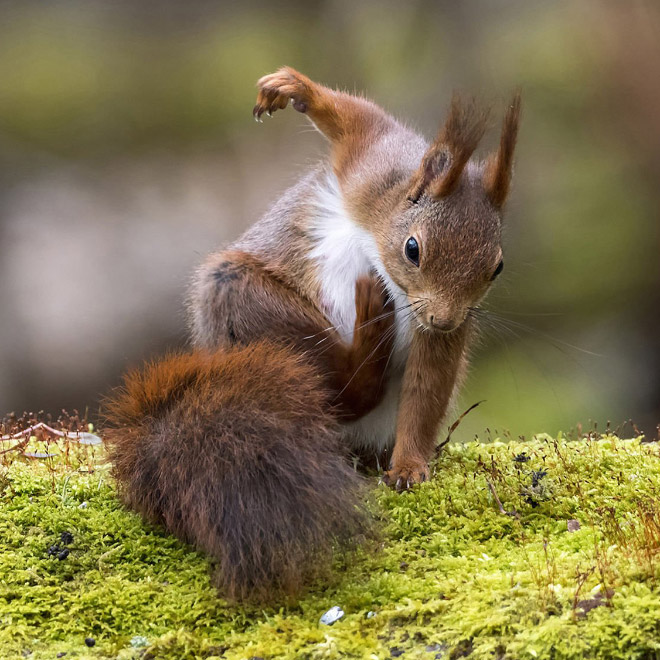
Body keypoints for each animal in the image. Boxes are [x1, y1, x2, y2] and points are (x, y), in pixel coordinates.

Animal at [105, 68, 524, 604]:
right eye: (413, 249)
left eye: (497, 267)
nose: (445, 319)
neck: (383, 234)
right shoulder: (372, 165)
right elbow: (355, 118)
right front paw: (292, 89)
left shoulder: (438, 334)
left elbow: (426, 390)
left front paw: (409, 466)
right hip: (242, 298)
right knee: (342, 389)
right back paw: (367, 334)